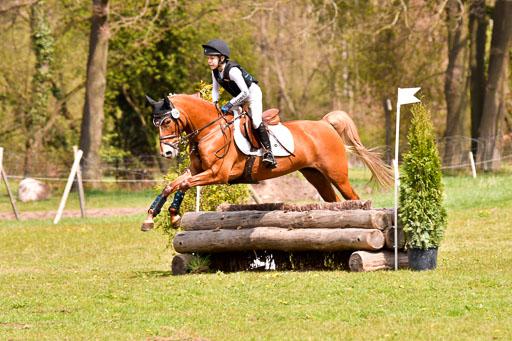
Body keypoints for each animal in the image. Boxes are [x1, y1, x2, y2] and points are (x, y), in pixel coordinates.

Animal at [140, 94, 392, 230]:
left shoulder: (217, 174)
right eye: (155, 123)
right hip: (316, 176)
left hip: (337, 175)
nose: (167, 153)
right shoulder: (197, 170)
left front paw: (173, 217)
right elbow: (172, 185)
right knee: (334, 201)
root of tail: (325, 123)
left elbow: (182, 184)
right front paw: (154, 217)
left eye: (166, 122)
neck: (210, 131)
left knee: (353, 198)